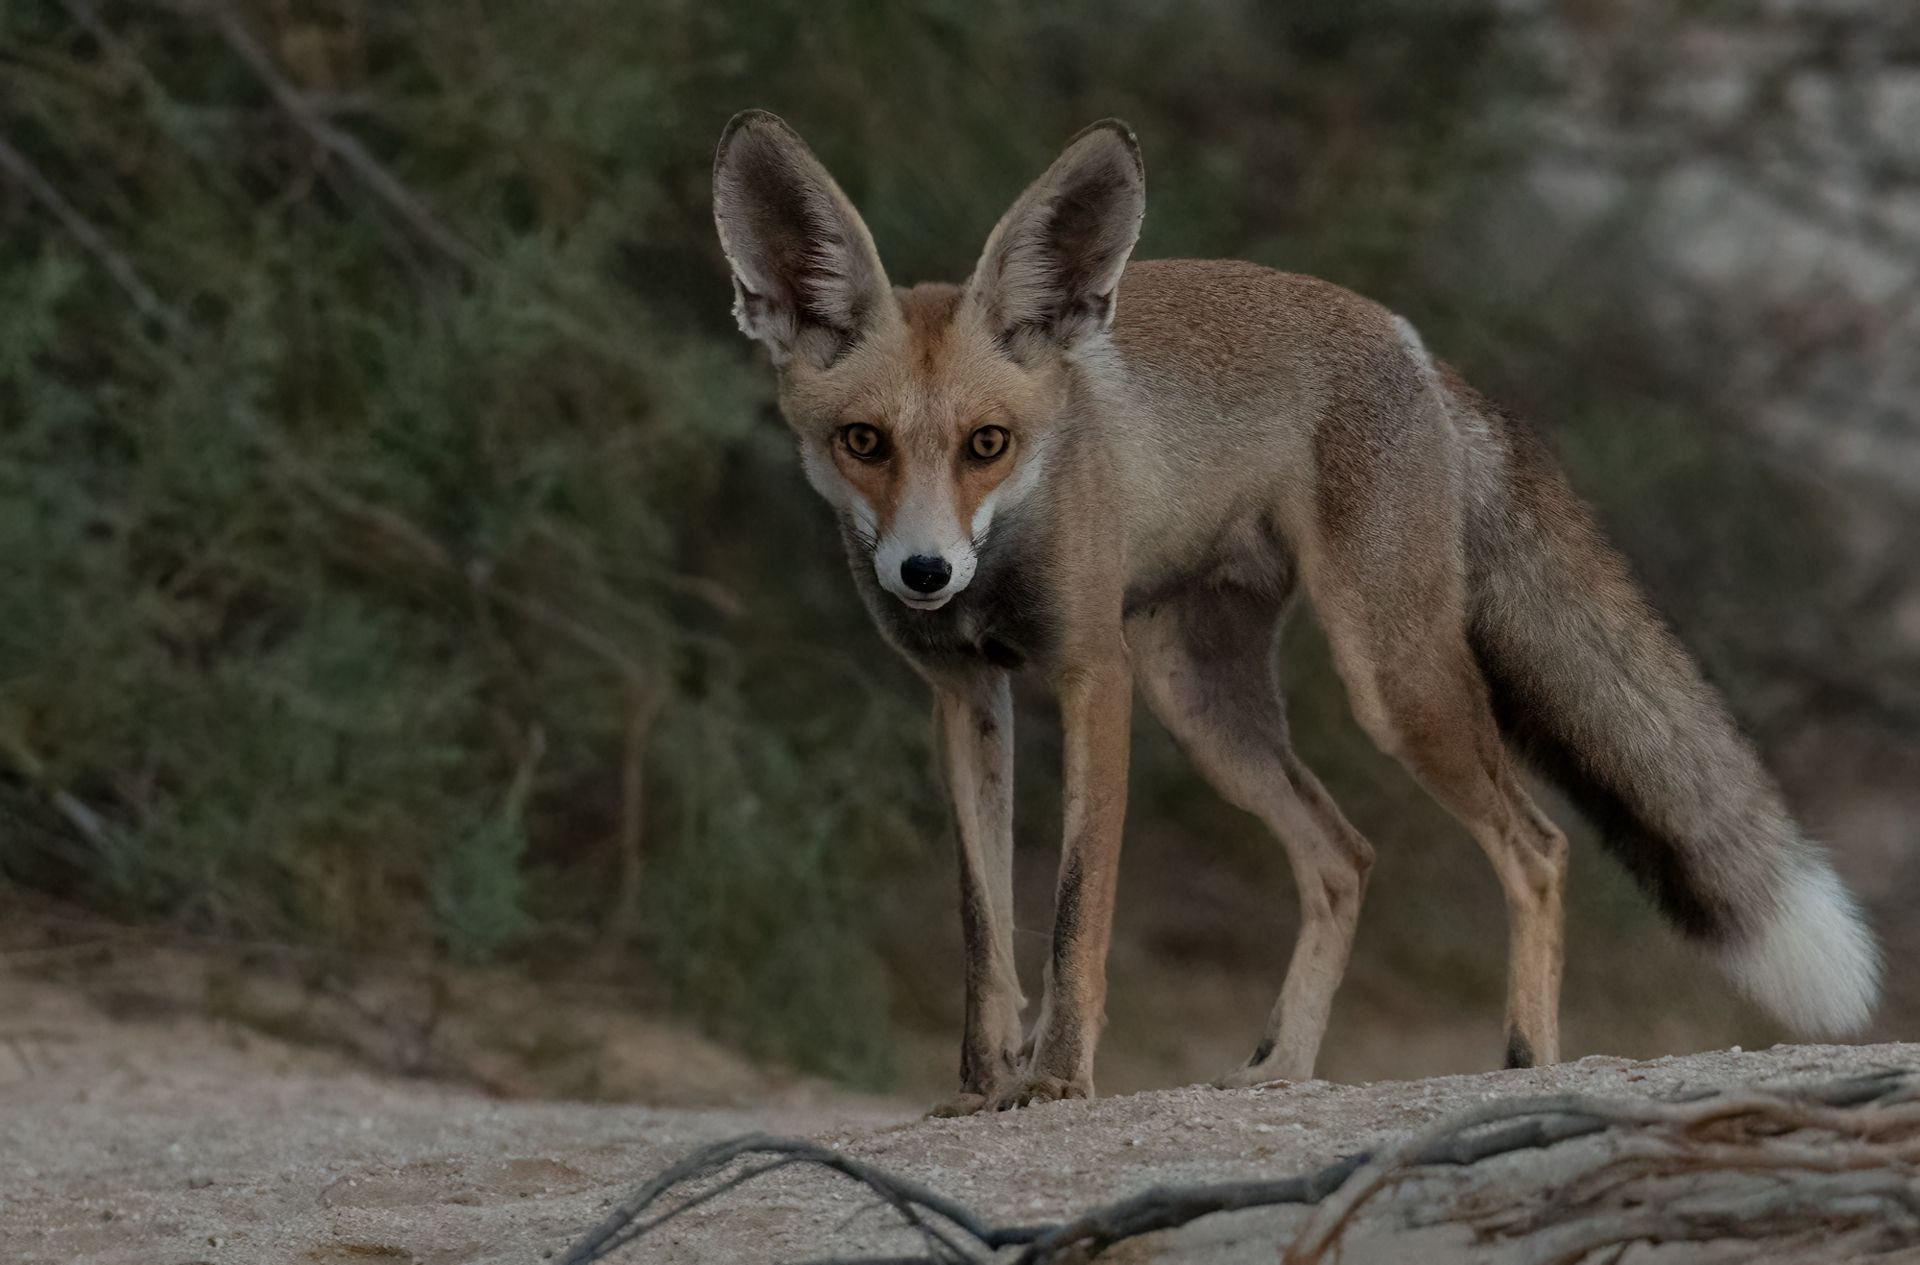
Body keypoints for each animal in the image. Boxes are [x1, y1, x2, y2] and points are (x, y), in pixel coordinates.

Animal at [710, 110, 1882, 1114]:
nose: (923, 572)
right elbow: (984, 926)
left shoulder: (1092, 674)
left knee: (1538, 846)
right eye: (864, 442)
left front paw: (1055, 1079)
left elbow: (1076, 909)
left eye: (986, 443)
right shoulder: (966, 692)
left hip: (1387, 680)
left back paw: (1525, 1062)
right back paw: (1284, 1070)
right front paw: (978, 1083)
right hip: (1207, 705)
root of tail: (1412, 342)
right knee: (1344, 854)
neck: (1005, 550)